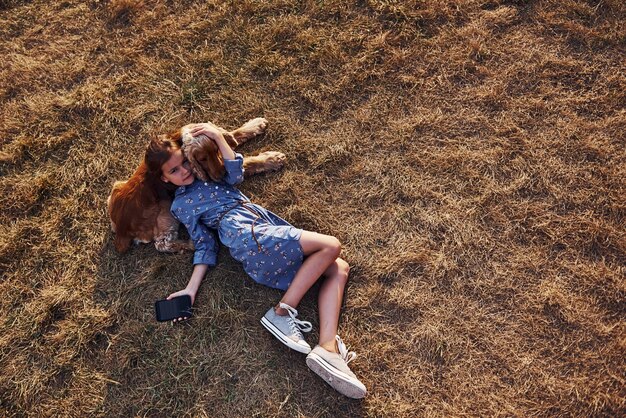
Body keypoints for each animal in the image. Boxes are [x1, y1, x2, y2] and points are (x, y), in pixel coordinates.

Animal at [106, 119, 284, 253]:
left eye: (216, 150)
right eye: (202, 159)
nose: (221, 175)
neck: (178, 142)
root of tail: (121, 229)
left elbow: (234, 134)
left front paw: (255, 124)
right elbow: (246, 162)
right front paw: (272, 159)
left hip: (116, 187)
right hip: (165, 209)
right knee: (162, 244)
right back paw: (192, 244)